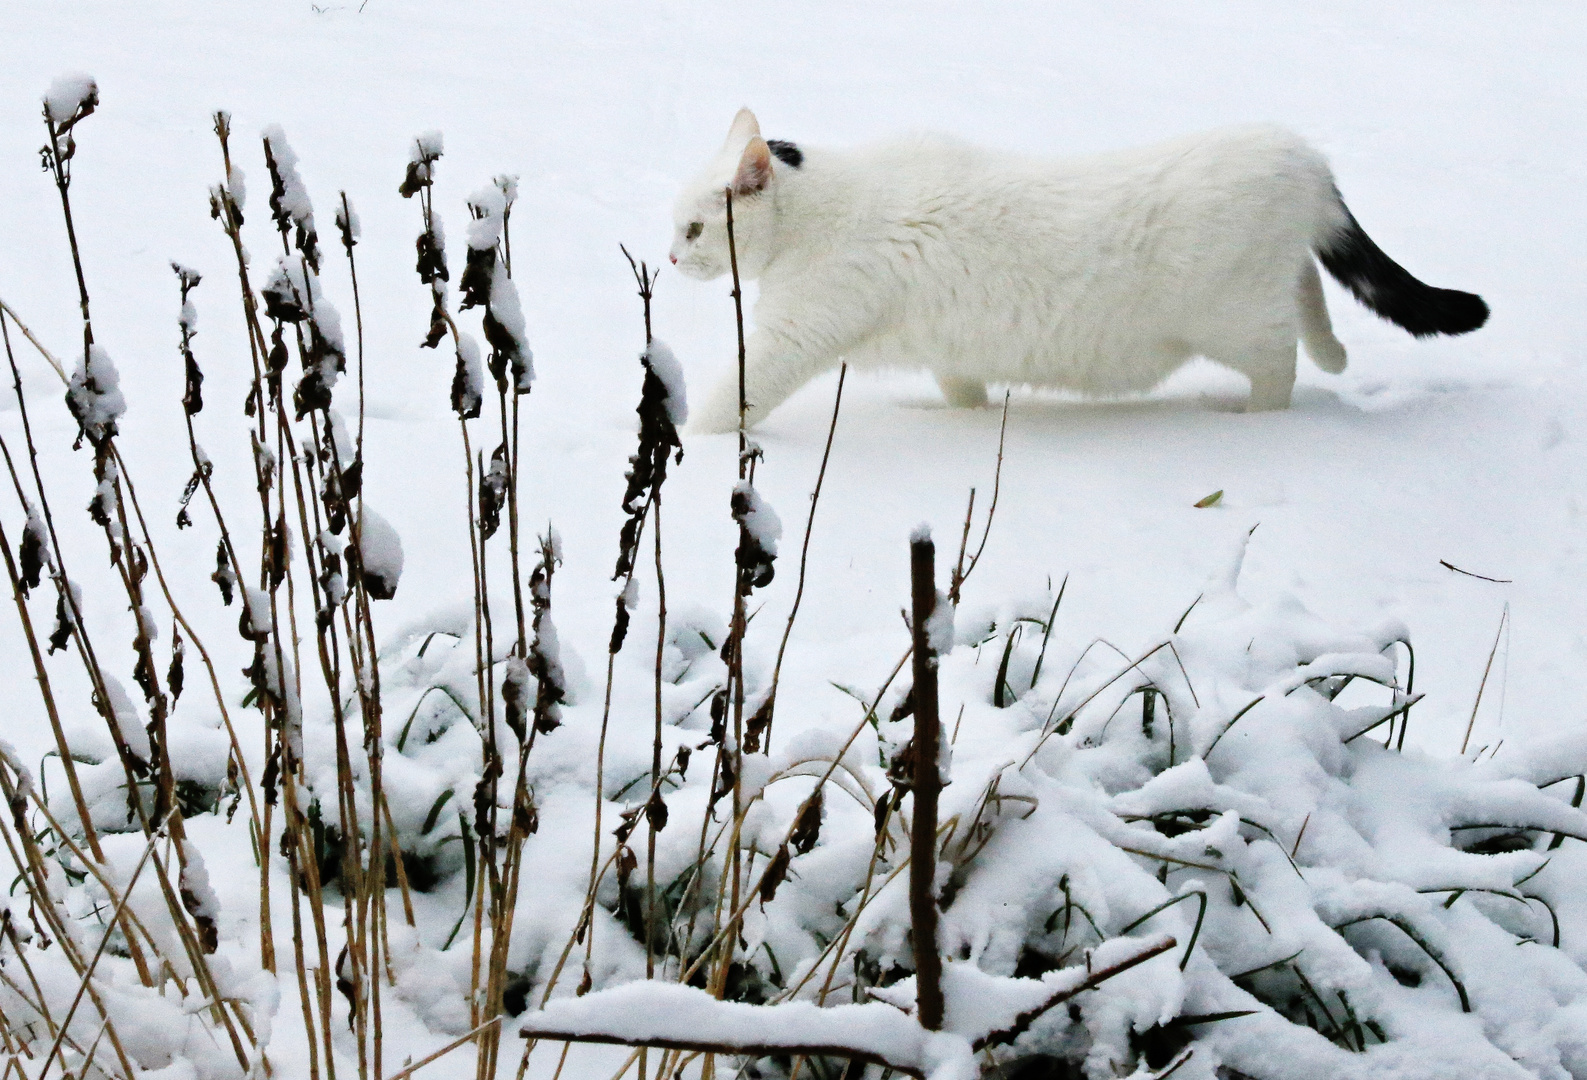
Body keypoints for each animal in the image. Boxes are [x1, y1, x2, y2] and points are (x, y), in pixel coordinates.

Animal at [669, 108, 1485, 428]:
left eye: (694, 227)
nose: (671, 257)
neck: (821, 206)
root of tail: (1300, 155)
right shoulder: (949, 348)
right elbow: (961, 388)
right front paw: (964, 421)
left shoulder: (792, 335)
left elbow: (728, 400)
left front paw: (695, 450)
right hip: (1269, 288)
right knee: (1311, 293)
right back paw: (1332, 353)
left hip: (1235, 319)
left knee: (1279, 361)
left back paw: (1254, 417)